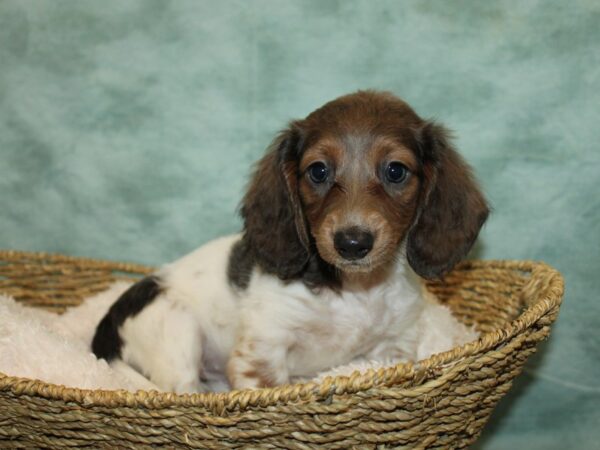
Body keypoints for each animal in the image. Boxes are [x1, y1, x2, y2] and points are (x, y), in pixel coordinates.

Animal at [91, 89, 490, 392]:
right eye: (318, 171)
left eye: (395, 171)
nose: (352, 243)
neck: (355, 290)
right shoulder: (263, 350)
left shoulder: (393, 347)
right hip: (178, 332)